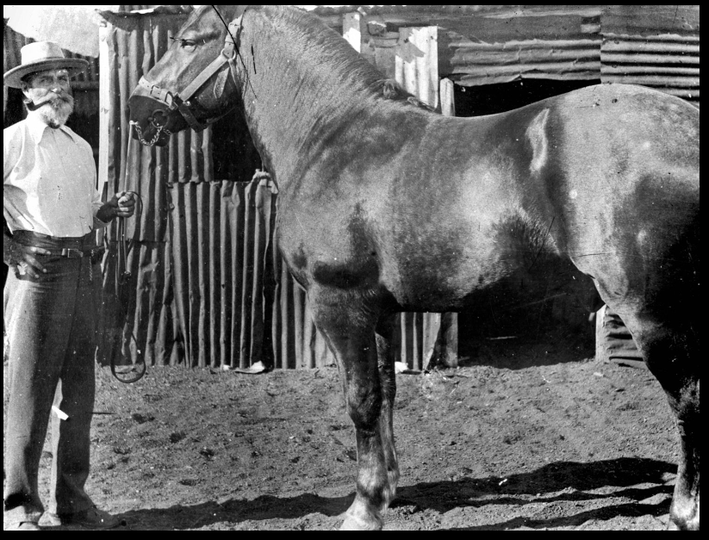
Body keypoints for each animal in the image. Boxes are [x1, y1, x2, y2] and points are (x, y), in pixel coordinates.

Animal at [130, 5, 700, 532]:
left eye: (188, 40)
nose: (138, 110)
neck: (331, 136)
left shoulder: (338, 304)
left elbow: (360, 401)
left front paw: (362, 510)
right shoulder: (378, 313)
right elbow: (385, 394)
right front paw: (386, 493)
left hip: (649, 310)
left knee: (687, 398)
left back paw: (684, 511)